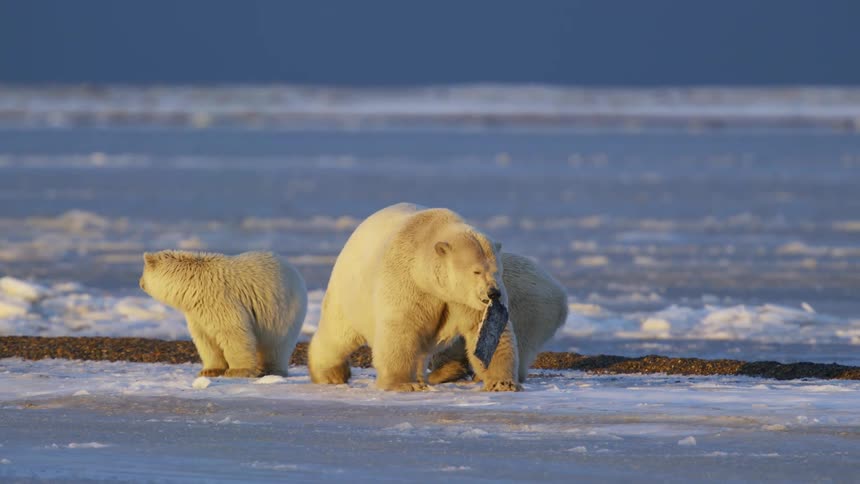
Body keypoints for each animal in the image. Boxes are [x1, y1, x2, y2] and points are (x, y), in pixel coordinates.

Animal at [139, 250, 307, 378]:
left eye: (143, 272)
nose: (140, 283)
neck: (190, 282)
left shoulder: (218, 299)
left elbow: (233, 332)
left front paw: (237, 371)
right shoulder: (196, 312)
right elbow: (205, 339)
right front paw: (210, 370)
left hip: (282, 309)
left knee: (277, 343)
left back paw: (271, 370)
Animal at [308, 202, 521, 392]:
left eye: (497, 271)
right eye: (476, 271)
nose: (493, 292)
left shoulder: (461, 300)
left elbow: (487, 331)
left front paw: (503, 383)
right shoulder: (408, 282)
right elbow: (401, 329)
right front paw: (404, 384)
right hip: (350, 291)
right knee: (338, 333)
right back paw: (331, 373)